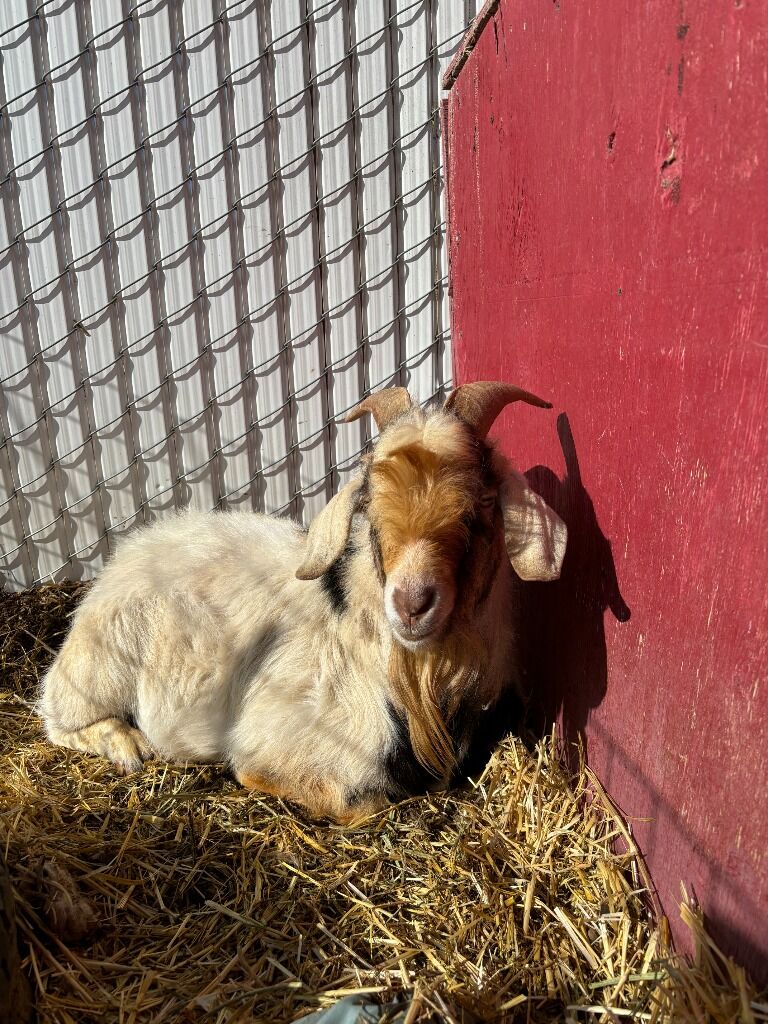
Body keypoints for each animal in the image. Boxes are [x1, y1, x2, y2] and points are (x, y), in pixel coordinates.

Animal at [40, 382, 566, 823]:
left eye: (481, 509)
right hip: (97, 668)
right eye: (370, 510)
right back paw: (126, 744)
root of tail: (128, 554)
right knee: (58, 718)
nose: (411, 604)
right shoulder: (283, 744)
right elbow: (360, 804)